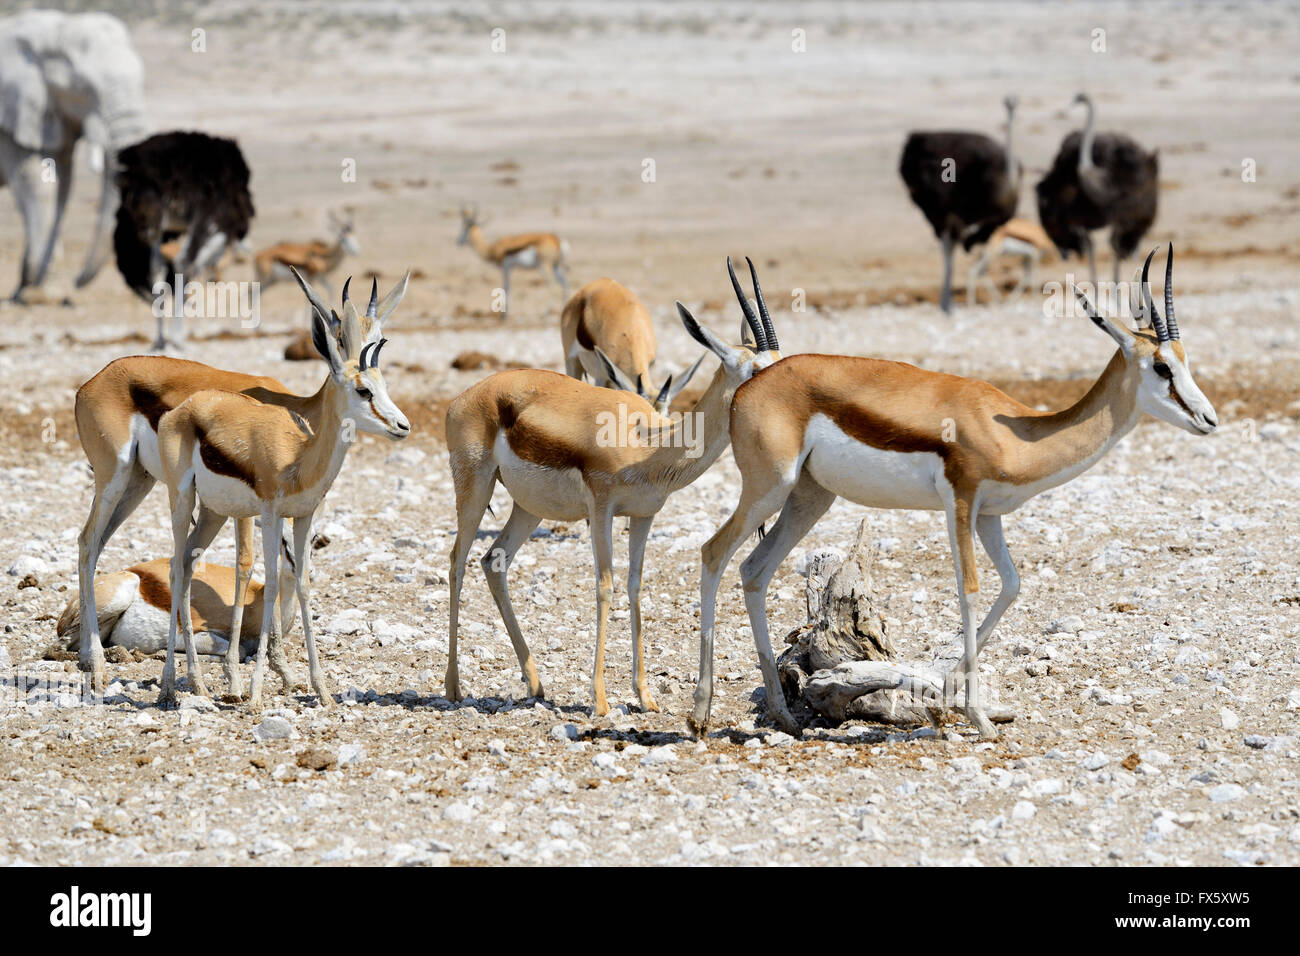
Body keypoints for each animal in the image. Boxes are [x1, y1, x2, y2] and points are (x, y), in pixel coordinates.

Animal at [0, 10, 147, 303]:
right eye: (83, 87)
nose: (76, 281)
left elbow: (63, 185)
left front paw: (40, 289)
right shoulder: (11, 112)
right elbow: (34, 183)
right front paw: (35, 295)